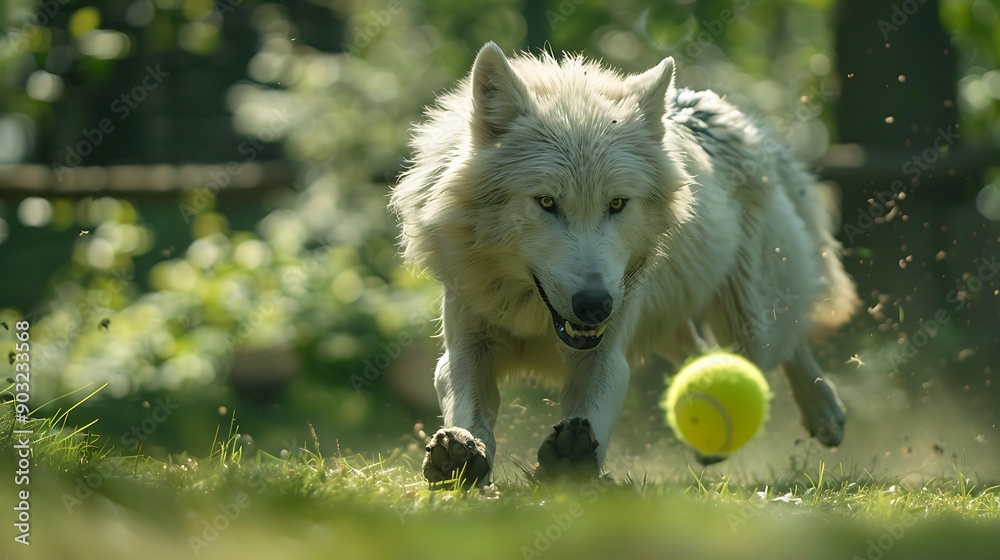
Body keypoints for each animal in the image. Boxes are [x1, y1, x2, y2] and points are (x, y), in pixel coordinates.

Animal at [391, 42, 858, 486]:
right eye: (546, 202)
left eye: (617, 203)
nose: (595, 305)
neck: (534, 317)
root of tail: (744, 122)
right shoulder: (468, 346)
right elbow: (468, 409)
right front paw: (459, 455)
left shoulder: (606, 354)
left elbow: (590, 412)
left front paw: (572, 460)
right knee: (705, 356)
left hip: (749, 325)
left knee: (787, 340)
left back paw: (826, 413)